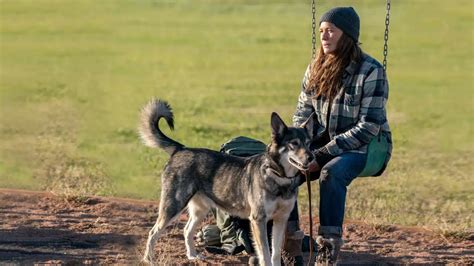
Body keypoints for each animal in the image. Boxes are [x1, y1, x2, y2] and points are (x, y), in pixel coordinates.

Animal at [139, 98, 312, 264]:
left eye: (309, 144)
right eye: (294, 144)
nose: (312, 157)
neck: (279, 177)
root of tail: (181, 149)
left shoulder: (281, 219)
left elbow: (275, 254)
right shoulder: (258, 220)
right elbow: (265, 255)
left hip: (199, 210)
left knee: (186, 230)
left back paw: (192, 256)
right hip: (173, 206)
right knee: (153, 232)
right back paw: (149, 259)